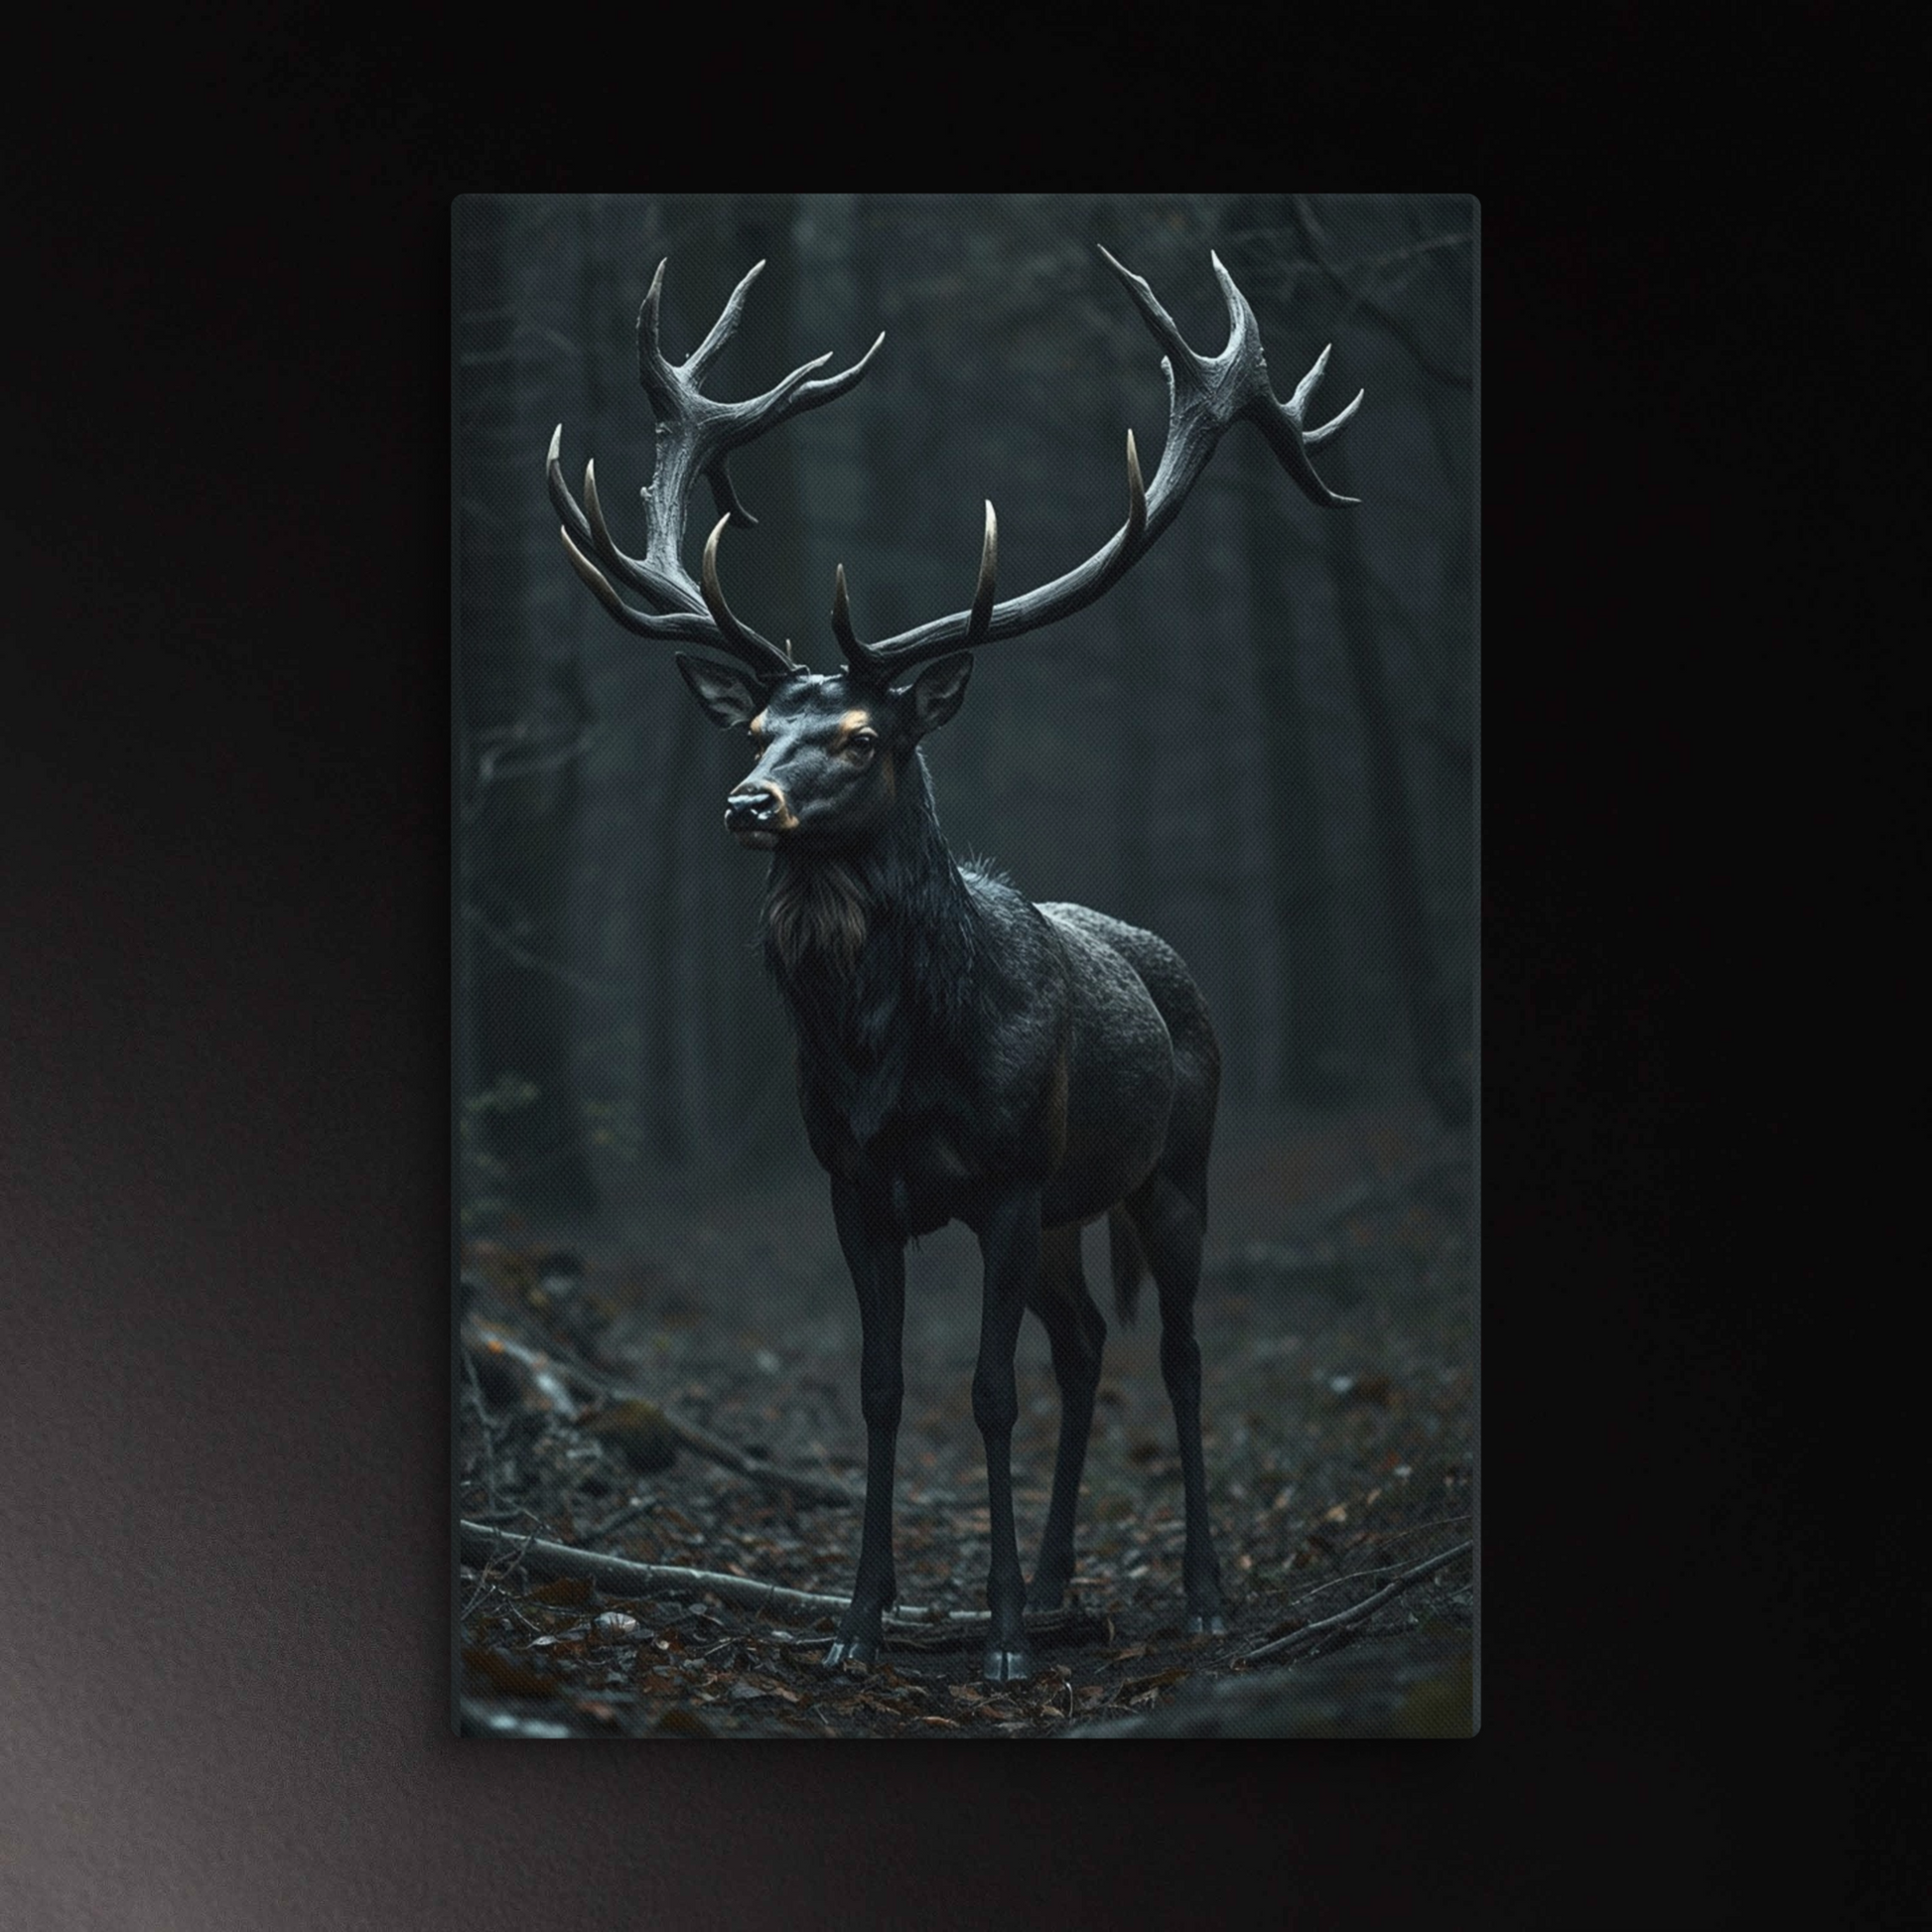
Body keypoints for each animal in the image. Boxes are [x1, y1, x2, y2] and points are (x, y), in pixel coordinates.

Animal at [547, 245, 1361, 1683]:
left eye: (864, 735)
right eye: (752, 727)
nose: (747, 804)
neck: (888, 1053)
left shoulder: (1007, 1175)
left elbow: (985, 1395)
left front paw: (996, 1643)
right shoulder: (856, 1182)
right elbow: (882, 1390)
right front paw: (862, 1623)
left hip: (1169, 1170)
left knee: (1178, 1353)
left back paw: (1196, 1590)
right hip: (1070, 1215)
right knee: (1086, 1343)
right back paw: (1056, 1575)